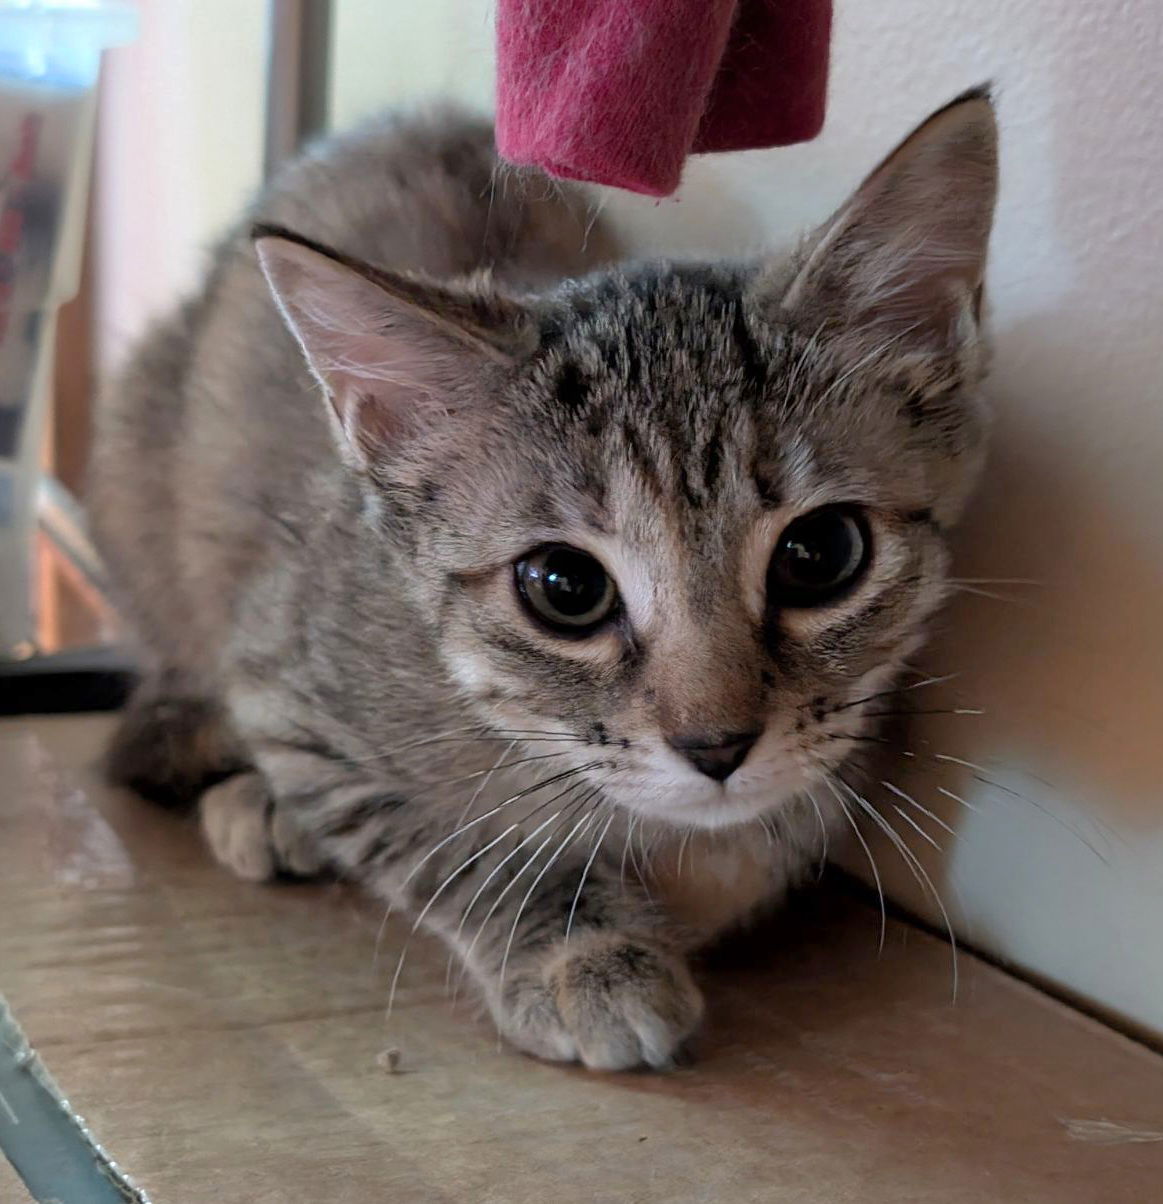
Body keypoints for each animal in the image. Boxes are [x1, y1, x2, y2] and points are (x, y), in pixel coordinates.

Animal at [90, 93, 1001, 1073]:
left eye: (819, 553)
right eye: (564, 587)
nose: (717, 747)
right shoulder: (278, 678)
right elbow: (453, 844)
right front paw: (580, 949)